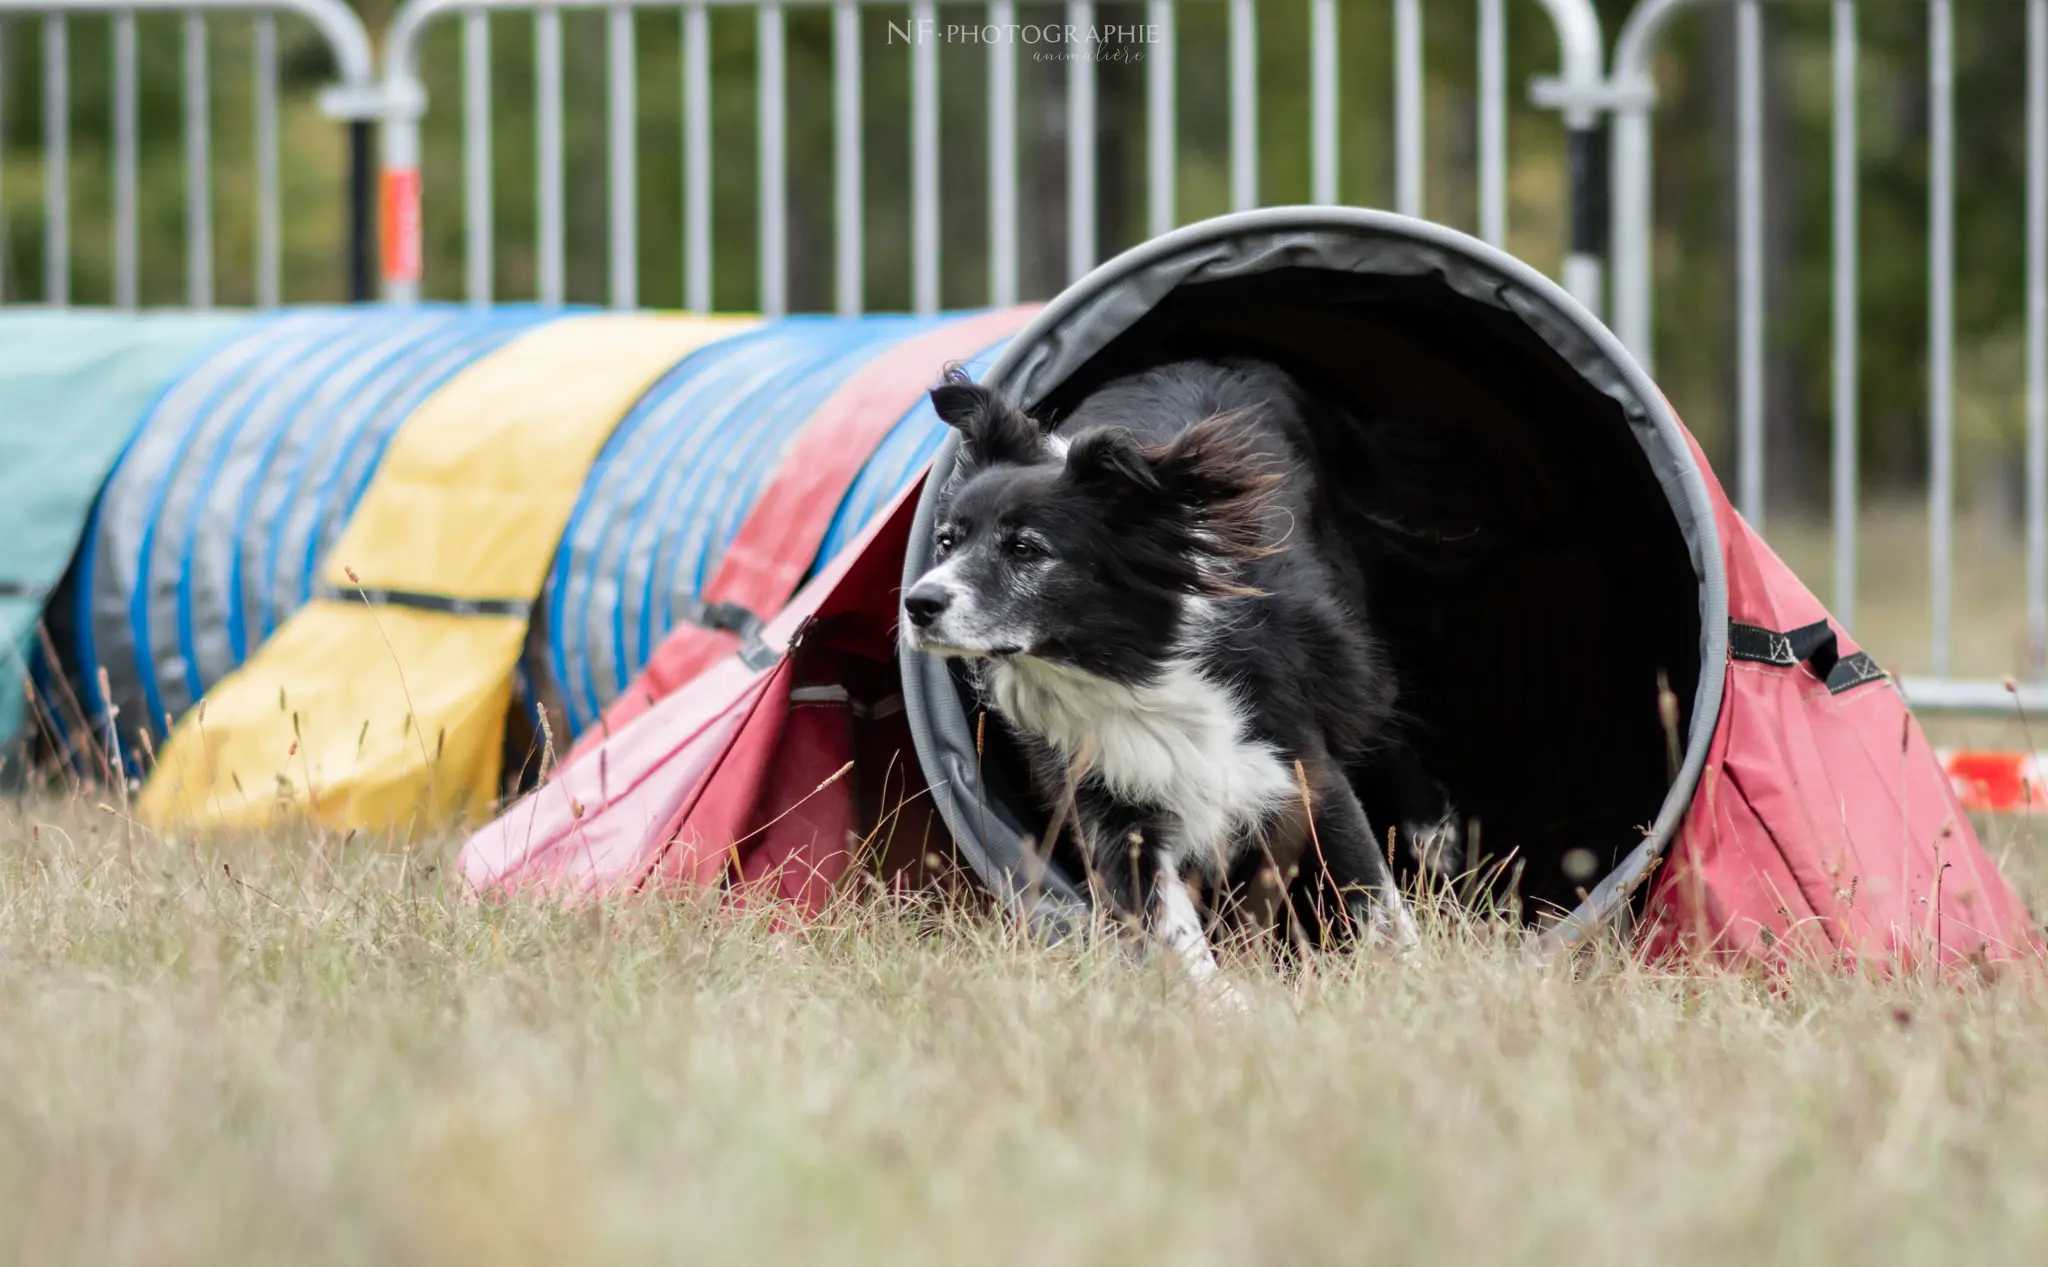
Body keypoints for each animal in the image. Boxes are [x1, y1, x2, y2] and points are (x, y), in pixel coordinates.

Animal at [905, 360, 1433, 990]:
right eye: (945, 542)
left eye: (1027, 550)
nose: (918, 604)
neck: (1129, 671)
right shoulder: (1112, 805)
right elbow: (1173, 931)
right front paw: (1223, 1002)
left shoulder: (1298, 765)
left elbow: (1371, 893)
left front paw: (1414, 979)